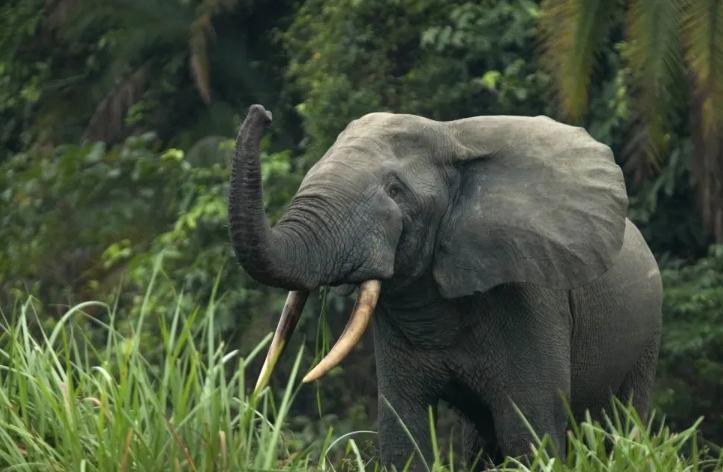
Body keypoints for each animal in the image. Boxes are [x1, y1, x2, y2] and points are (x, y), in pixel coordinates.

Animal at [229, 104, 664, 468]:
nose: (262, 113)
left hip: (645, 341)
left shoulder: (531, 297)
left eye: (395, 190)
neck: (451, 137)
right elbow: (403, 433)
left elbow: (529, 430)